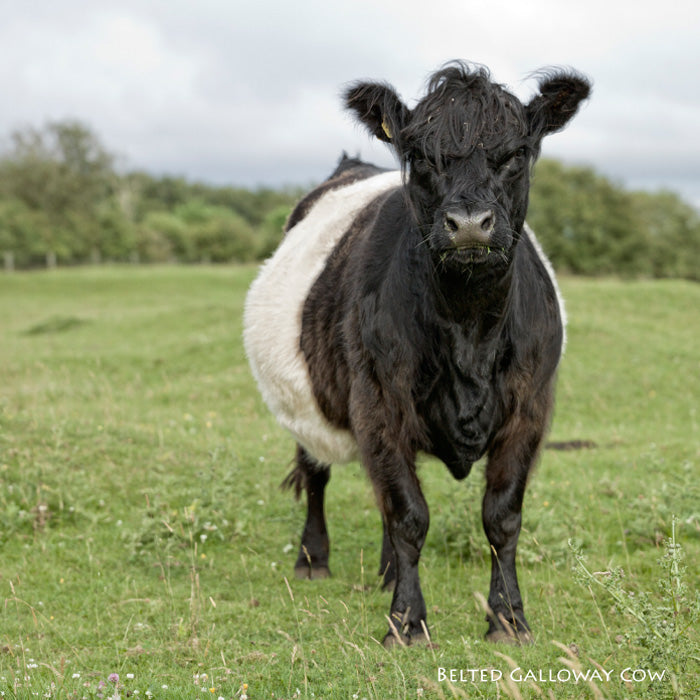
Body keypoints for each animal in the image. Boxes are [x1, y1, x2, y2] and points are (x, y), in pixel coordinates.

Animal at [243, 61, 590, 646]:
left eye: (516, 154)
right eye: (421, 156)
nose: (470, 224)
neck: (470, 329)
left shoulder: (530, 409)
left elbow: (501, 518)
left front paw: (508, 619)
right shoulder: (379, 403)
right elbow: (410, 514)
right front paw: (406, 623)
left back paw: (385, 572)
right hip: (307, 403)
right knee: (318, 474)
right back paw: (313, 559)